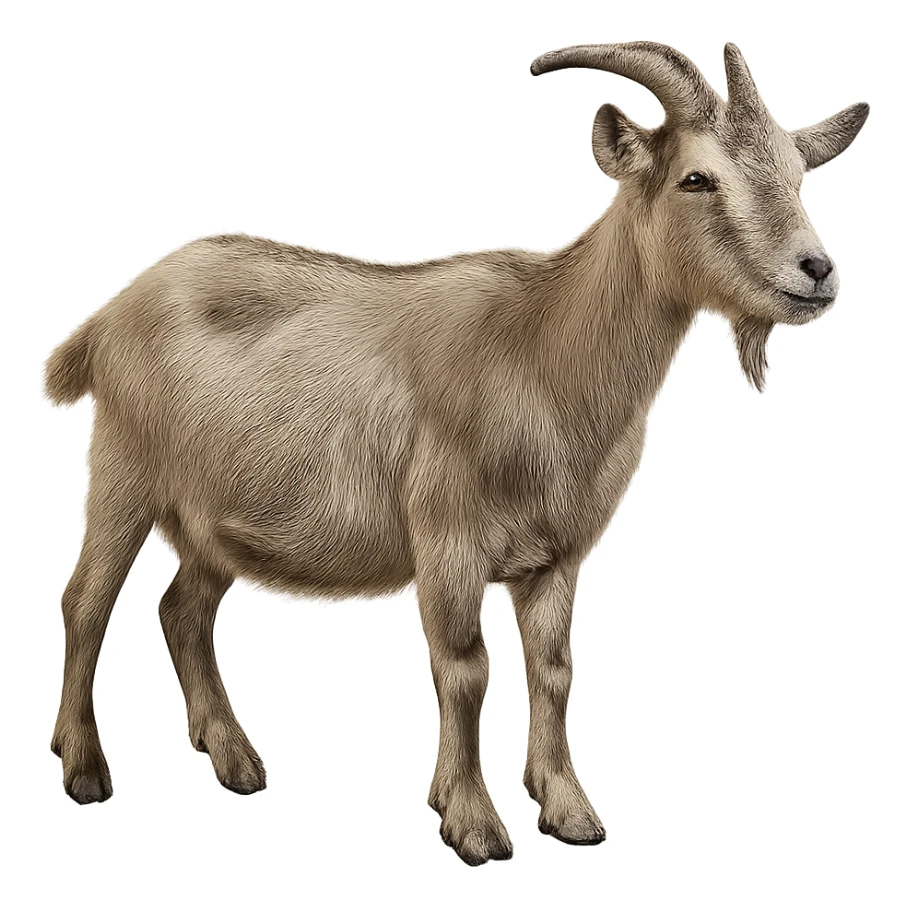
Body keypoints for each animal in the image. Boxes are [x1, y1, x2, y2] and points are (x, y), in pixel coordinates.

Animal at [44, 42, 867, 865]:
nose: (817, 270)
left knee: (183, 608)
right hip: (123, 471)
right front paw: (472, 823)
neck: (542, 348)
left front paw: (568, 811)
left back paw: (235, 759)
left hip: (214, 519)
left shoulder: (556, 554)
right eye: (695, 178)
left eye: (797, 175)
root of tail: (107, 316)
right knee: (87, 600)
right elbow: (465, 667)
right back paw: (83, 768)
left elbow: (555, 670)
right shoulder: (448, 538)